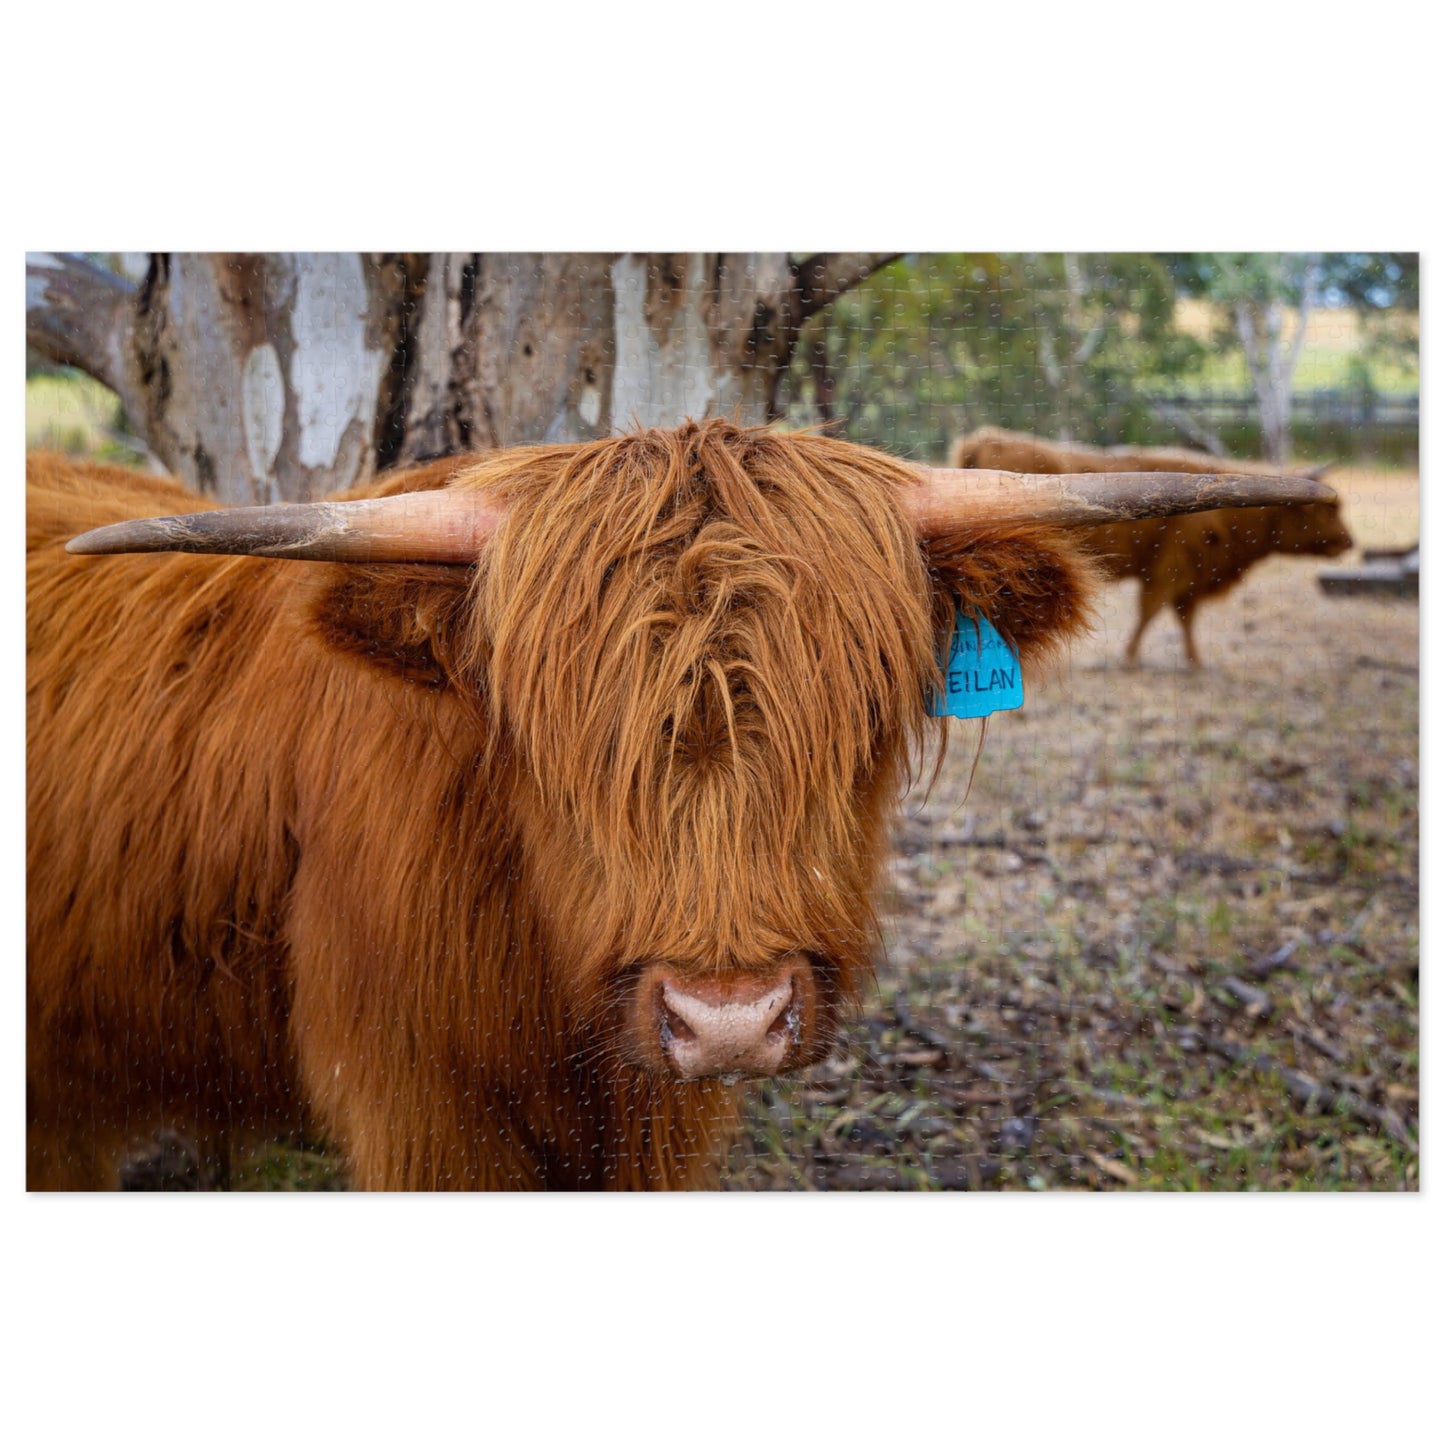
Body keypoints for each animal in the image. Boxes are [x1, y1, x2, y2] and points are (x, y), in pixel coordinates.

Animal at [953, 424, 1346, 667]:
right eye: (1330, 508)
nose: (1348, 541)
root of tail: (986, 439)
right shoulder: (1171, 569)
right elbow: (1153, 611)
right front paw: (1131, 659)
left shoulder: (1186, 577)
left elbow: (1183, 617)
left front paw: (1194, 660)